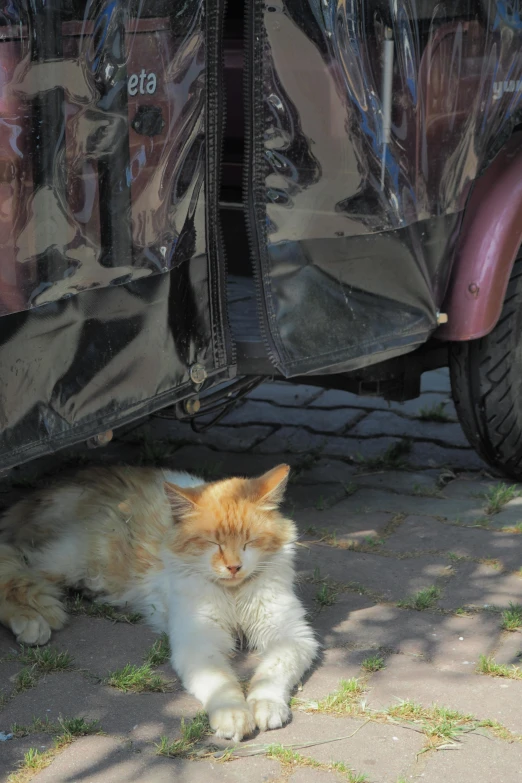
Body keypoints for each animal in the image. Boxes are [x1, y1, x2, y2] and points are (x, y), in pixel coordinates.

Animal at [0, 462, 316, 744]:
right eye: (213, 543)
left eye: (249, 542)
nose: (234, 567)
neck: (233, 594)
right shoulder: (198, 640)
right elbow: (222, 683)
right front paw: (233, 715)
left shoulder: (291, 634)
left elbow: (270, 674)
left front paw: (266, 706)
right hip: (66, 561)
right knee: (14, 565)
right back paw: (32, 623)